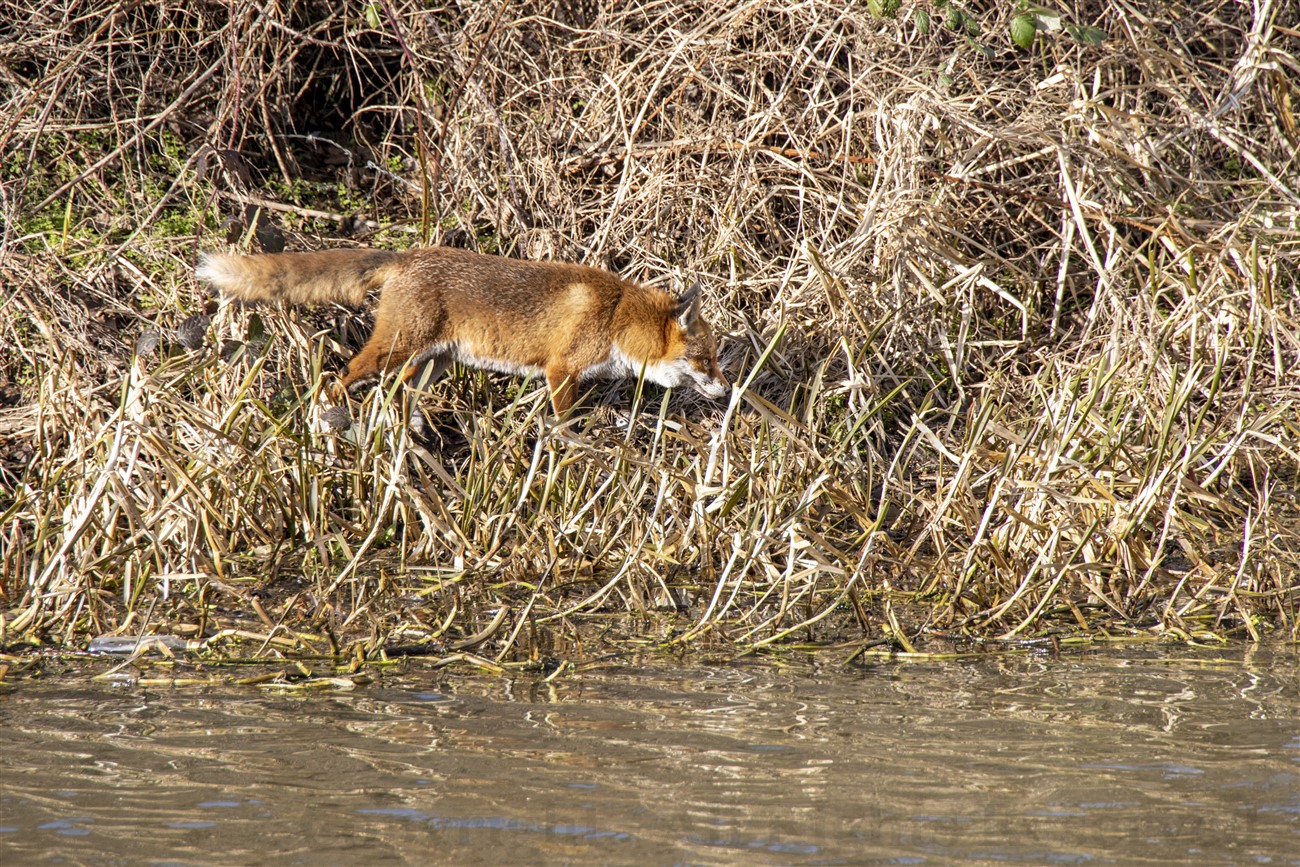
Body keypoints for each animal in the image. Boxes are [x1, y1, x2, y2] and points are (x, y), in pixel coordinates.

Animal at [196, 246, 729, 414]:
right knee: (342, 376)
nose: (728, 390)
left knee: (400, 395)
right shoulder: (561, 371)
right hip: (394, 350)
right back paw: (327, 421)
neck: (618, 316)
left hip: (431, 364)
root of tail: (408, 256)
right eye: (706, 360)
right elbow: (566, 424)